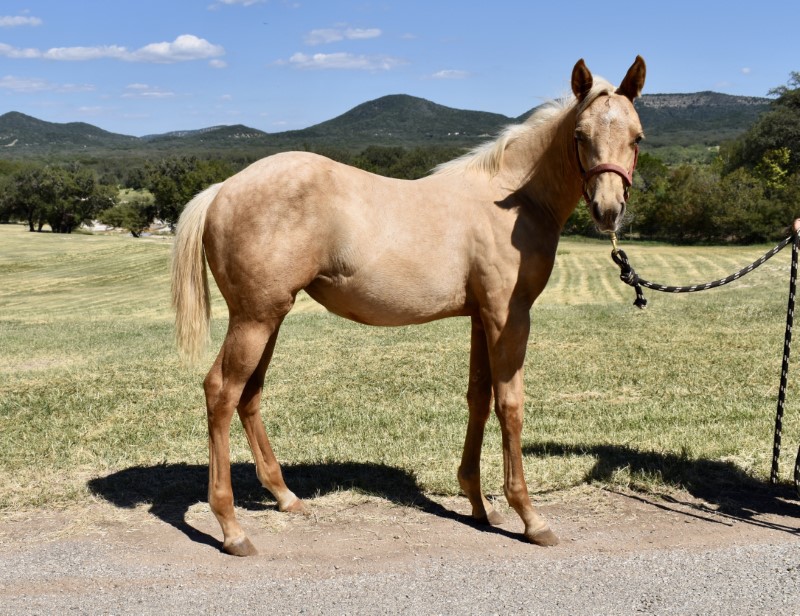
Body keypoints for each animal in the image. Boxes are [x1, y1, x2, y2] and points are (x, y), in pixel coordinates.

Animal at [172, 57, 648, 556]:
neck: (515, 199)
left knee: (250, 395)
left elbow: (479, 399)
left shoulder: (482, 318)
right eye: (580, 134)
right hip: (254, 320)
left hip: (269, 317)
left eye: (636, 137)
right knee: (221, 392)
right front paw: (530, 516)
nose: (609, 210)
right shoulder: (509, 316)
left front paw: (479, 504)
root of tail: (222, 189)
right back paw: (231, 527)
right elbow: (510, 405)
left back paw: (285, 496)